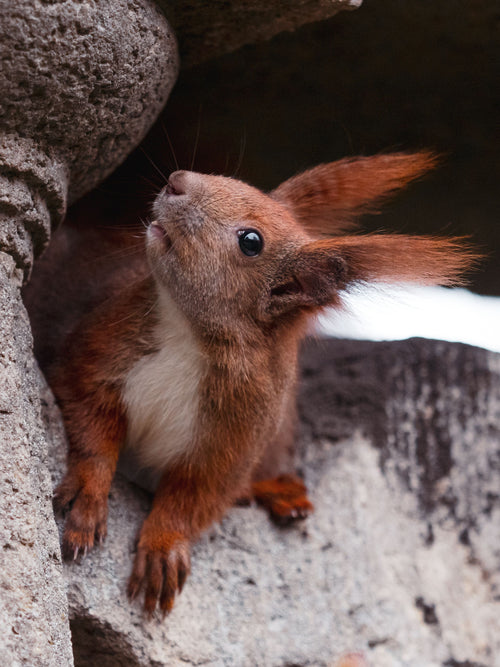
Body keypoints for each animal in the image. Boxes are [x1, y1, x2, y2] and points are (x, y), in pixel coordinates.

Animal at [24, 151, 478, 616]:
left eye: (251, 241)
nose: (177, 181)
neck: (189, 335)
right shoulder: (95, 354)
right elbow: (92, 426)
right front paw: (89, 496)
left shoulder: (235, 437)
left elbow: (195, 497)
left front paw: (164, 547)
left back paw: (279, 494)